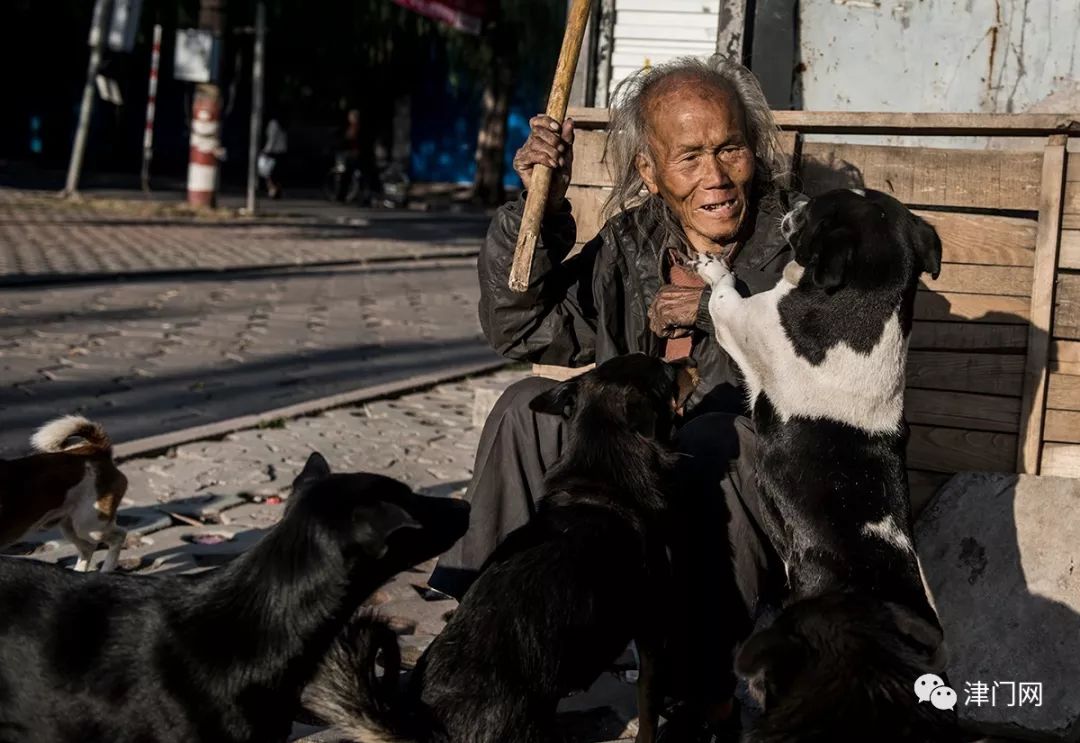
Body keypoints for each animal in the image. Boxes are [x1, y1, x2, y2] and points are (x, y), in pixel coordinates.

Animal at [0, 414, 129, 570]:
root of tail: (97, 450)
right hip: (69, 526)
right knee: (87, 548)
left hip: (90, 525)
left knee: (119, 536)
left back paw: (106, 570)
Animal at [313, 354, 699, 743]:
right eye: (667, 370)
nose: (690, 358)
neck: (600, 481)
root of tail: (431, 726)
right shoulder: (653, 633)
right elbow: (648, 713)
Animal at [695, 188, 959, 738]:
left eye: (816, 207)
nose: (792, 195)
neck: (860, 305)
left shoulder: (743, 322)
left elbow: (725, 293)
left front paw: (713, 266)